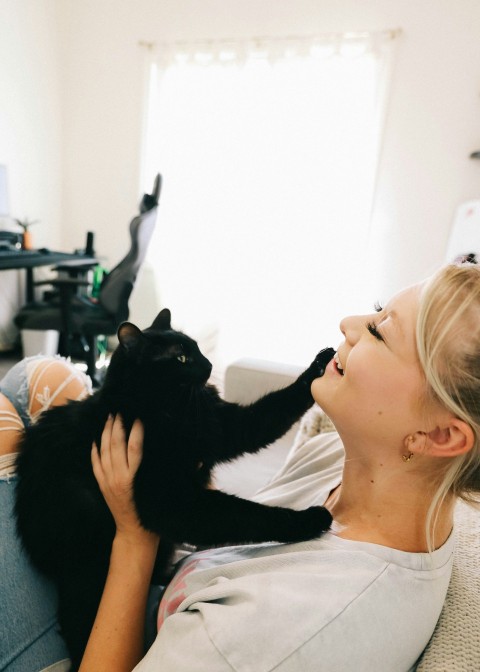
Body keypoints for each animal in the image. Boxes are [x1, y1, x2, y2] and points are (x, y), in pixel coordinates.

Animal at [16, 310, 336, 668]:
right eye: (181, 358)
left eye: (197, 348)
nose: (209, 364)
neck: (173, 409)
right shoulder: (170, 502)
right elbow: (247, 514)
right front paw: (310, 519)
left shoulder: (225, 427)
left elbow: (276, 408)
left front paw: (321, 366)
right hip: (86, 573)